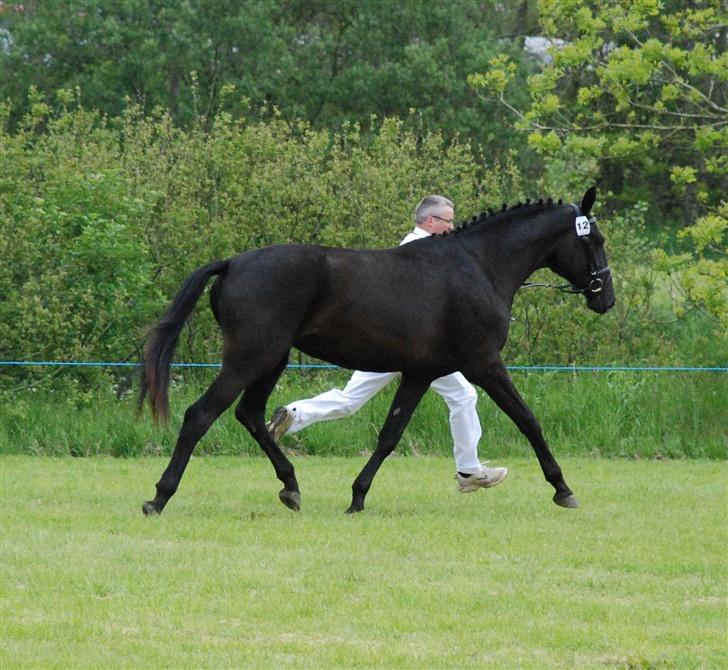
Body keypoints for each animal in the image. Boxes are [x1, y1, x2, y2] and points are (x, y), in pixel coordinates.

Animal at [139, 186, 612, 516]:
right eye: (597, 240)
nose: (604, 298)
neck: (478, 265)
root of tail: (233, 263)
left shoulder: (422, 372)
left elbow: (389, 435)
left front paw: (357, 496)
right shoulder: (484, 363)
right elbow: (528, 420)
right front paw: (563, 489)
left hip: (272, 358)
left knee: (251, 415)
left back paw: (291, 486)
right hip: (250, 356)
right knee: (201, 415)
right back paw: (159, 497)